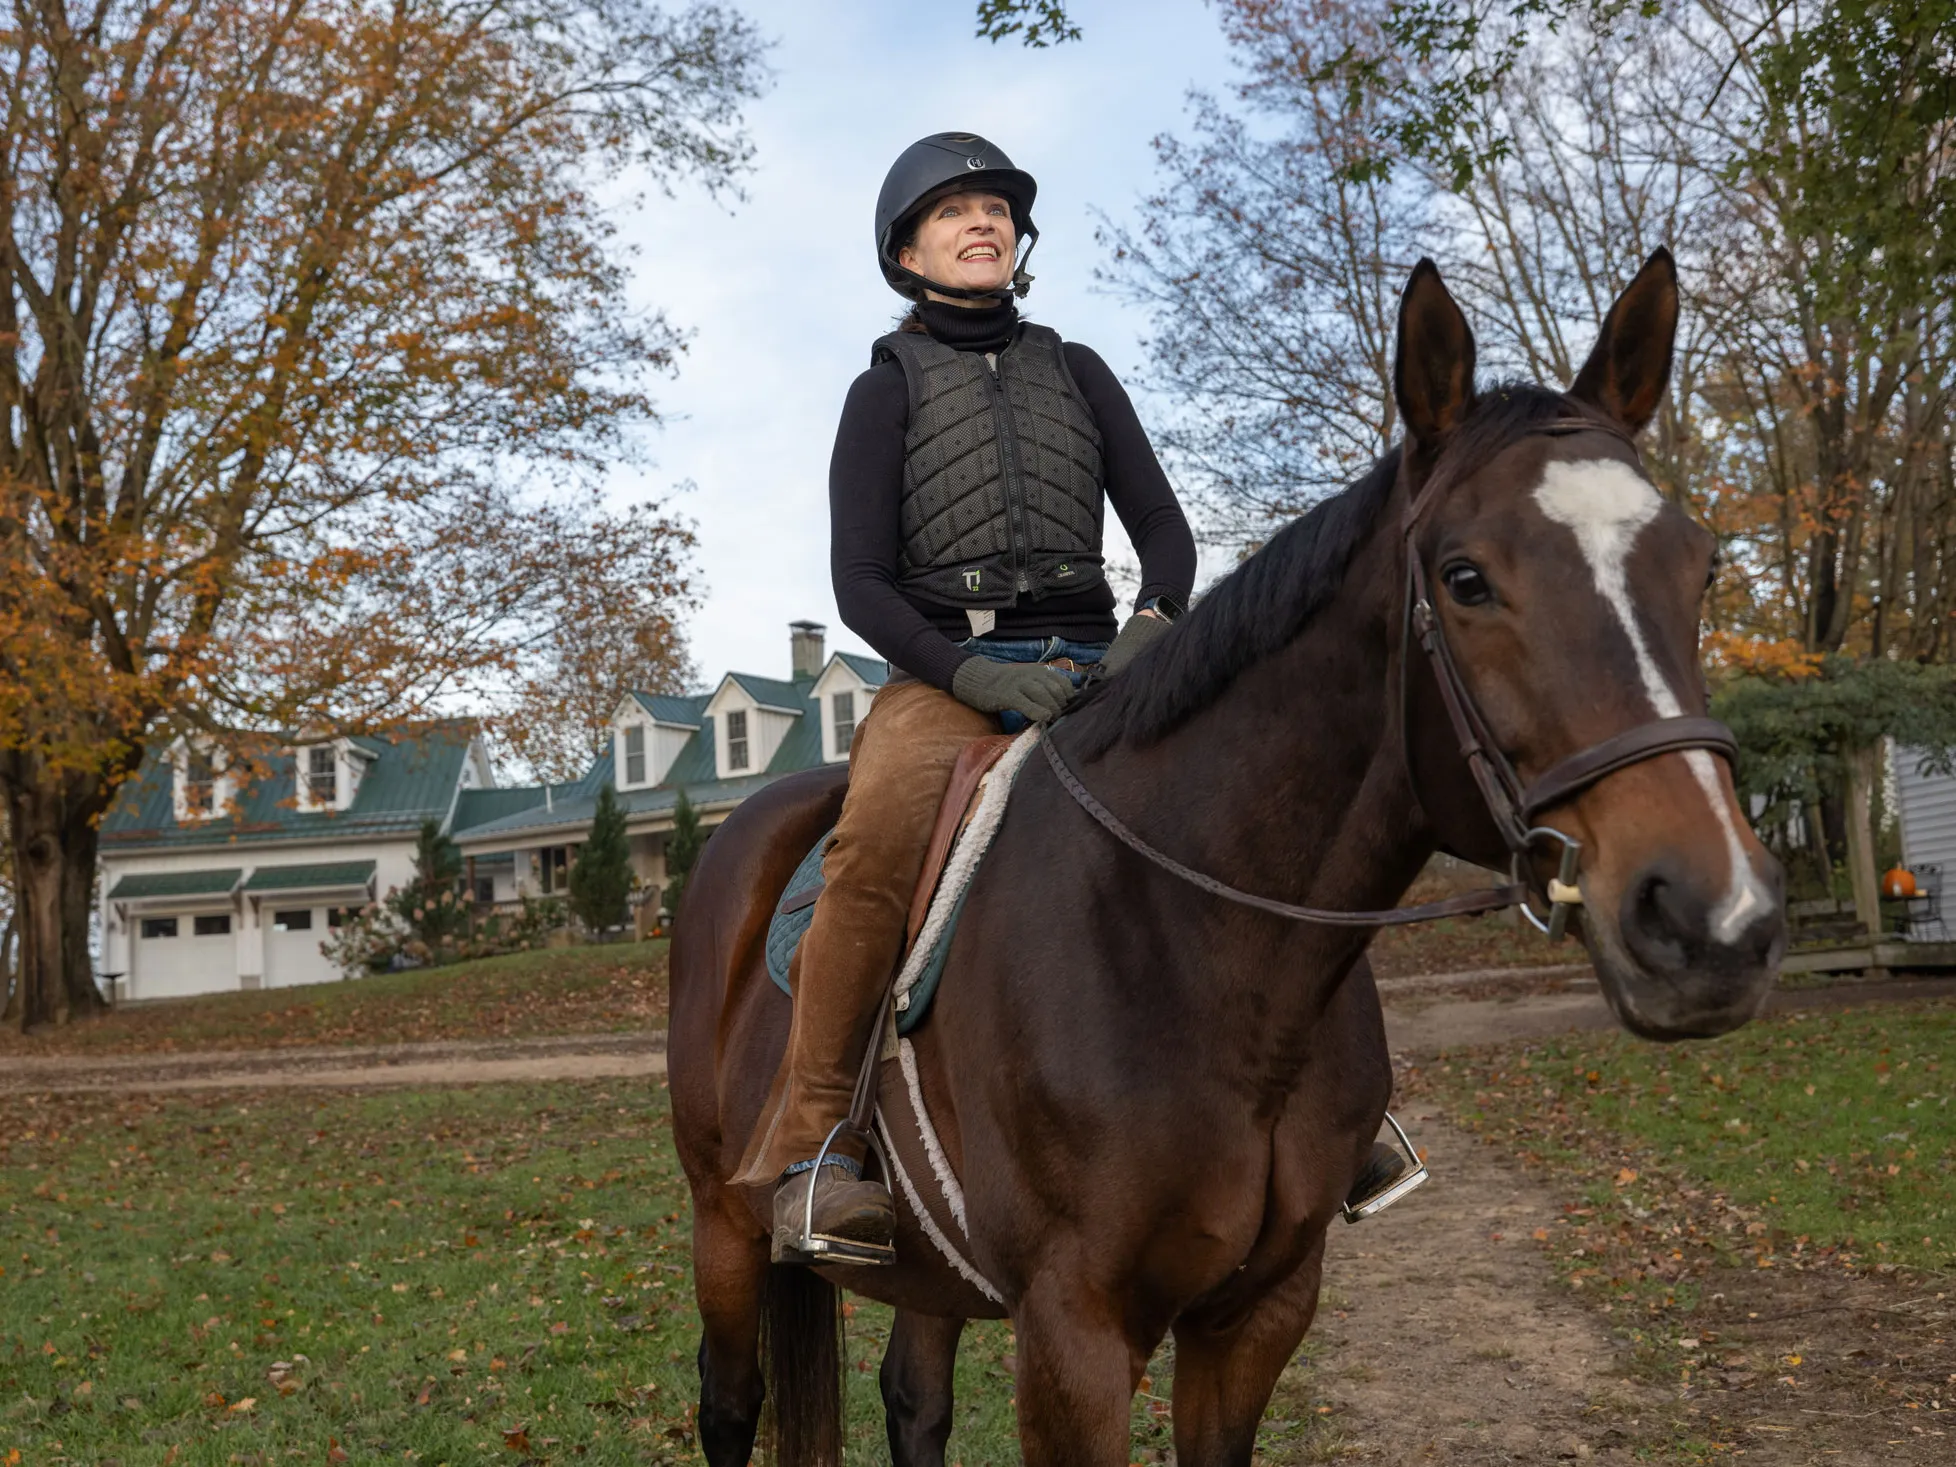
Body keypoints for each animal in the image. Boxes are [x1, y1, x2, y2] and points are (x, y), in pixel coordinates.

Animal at [667, 250, 1785, 1467]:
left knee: (914, 1403)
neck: (1198, 954)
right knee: (730, 1405)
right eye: (1465, 577)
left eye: (1701, 567)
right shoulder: (1073, 1333)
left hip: (927, 1272)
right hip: (724, 1222)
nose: (1711, 922)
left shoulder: (1260, 1314)